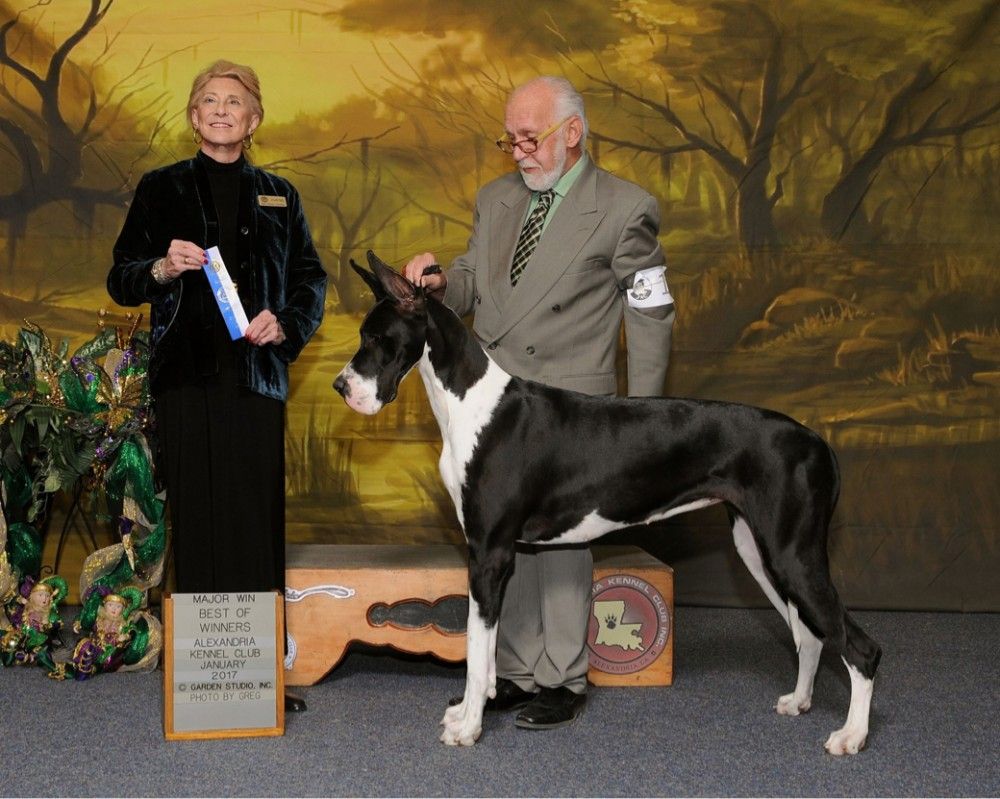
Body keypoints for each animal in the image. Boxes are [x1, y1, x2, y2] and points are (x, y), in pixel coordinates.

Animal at [334, 251, 882, 755]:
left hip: (793, 554)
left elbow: (475, 643)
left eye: (376, 338)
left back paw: (851, 735)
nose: (341, 386)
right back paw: (799, 700)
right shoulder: (499, 554)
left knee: (861, 648)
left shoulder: (488, 554)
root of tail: (818, 441)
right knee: (810, 634)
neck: (470, 404)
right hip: (758, 549)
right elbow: (484, 649)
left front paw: (468, 726)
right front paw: (478, 706)